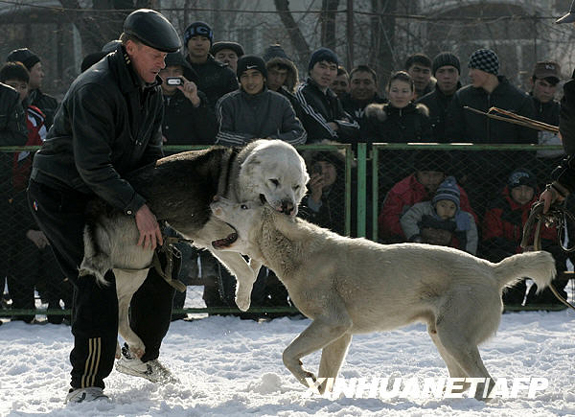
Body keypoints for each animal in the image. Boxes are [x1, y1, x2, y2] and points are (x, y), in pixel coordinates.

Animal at [80, 140, 310, 358]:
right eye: (274, 181)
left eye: (296, 186)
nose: (288, 207)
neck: (237, 181)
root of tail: (97, 206)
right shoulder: (217, 238)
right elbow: (247, 272)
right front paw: (243, 299)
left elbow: (254, 265)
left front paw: (243, 291)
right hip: (137, 265)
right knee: (117, 310)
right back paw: (132, 345)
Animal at [212, 200, 560, 398]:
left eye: (243, 207)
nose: (214, 201)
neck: (296, 254)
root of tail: (491, 269)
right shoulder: (340, 333)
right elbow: (326, 375)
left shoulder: (332, 322)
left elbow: (288, 356)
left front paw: (304, 376)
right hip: (441, 336)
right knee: (463, 379)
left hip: (453, 336)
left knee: (484, 381)